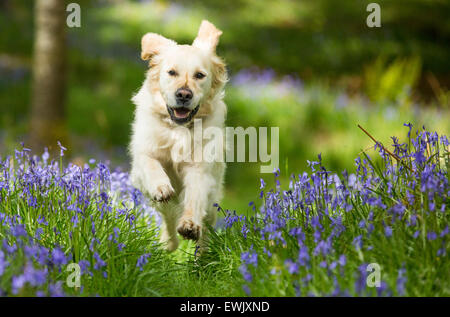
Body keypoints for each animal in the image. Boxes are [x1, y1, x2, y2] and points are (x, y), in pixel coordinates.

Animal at [130, 21, 229, 251]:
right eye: (172, 72)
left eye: (199, 75)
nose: (184, 94)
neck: (177, 129)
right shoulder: (143, 156)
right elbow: (151, 164)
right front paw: (161, 186)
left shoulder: (200, 170)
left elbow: (194, 198)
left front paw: (190, 224)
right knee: (167, 215)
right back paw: (168, 243)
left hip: (213, 196)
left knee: (207, 225)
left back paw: (202, 252)